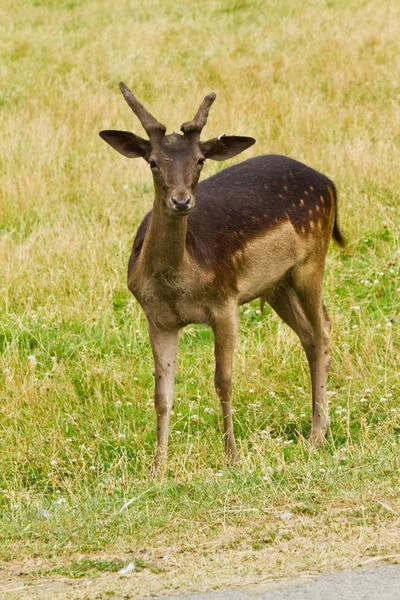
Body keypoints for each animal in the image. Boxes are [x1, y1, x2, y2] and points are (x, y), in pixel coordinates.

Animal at [100, 82, 344, 474]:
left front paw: (232, 456)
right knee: (311, 332)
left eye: (199, 160)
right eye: (153, 161)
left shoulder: (225, 300)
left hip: (311, 262)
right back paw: (321, 423)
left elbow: (223, 381)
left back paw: (316, 434)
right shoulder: (157, 317)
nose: (181, 200)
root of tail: (330, 183)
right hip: (277, 284)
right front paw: (158, 467)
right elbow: (162, 393)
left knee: (322, 330)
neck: (178, 281)